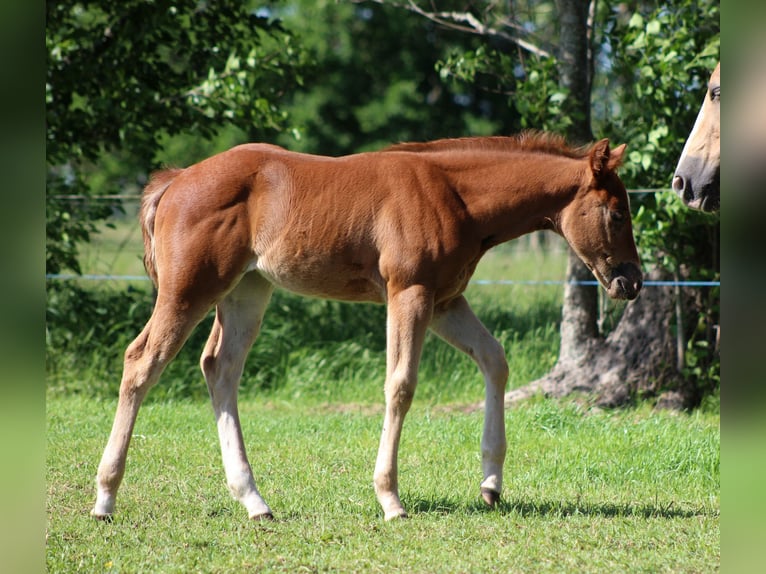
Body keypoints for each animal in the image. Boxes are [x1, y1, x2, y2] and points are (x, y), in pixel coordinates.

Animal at [91, 131, 642, 522]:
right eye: (617, 214)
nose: (631, 282)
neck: (456, 196)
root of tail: (176, 180)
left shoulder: (445, 301)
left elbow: (495, 360)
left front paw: (490, 484)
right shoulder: (409, 293)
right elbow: (401, 385)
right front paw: (391, 499)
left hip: (247, 290)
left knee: (219, 369)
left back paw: (254, 501)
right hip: (190, 289)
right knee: (142, 361)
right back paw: (105, 499)